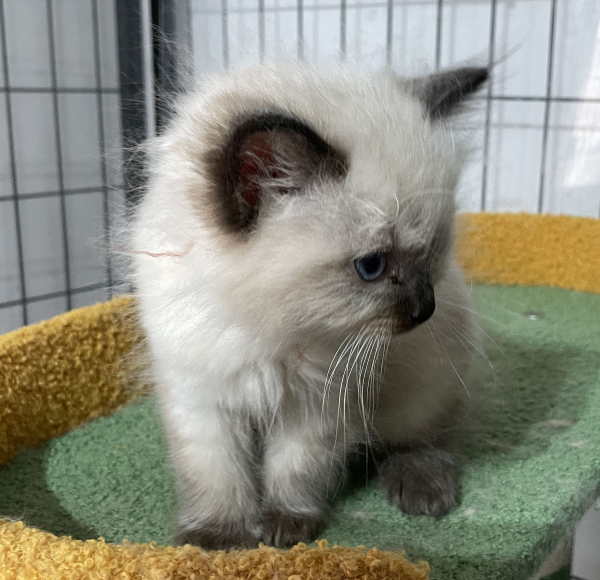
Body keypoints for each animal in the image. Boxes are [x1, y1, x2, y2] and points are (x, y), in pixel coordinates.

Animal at [130, 62, 488, 548]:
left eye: (432, 250)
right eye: (372, 266)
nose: (423, 309)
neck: (264, 326)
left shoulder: (319, 401)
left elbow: (294, 469)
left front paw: (284, 528)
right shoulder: (200, 398)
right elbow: (216, 474)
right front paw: (218, 538)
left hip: (424, 381)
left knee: (424, 437)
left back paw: (421, 490)